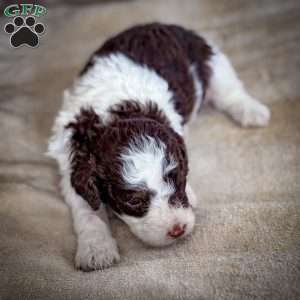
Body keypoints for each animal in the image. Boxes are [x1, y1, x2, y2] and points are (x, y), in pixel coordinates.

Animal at [48, 23, 270, 270]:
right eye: (133, 200)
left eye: (178, 179)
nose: (178, 229)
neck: (114, 115)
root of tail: (156, 25)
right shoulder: (71, 162)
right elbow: (88, 209)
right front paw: (96, 250)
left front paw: (190, 193)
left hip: (211, 59)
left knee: (229, 90)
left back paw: (252, 111)